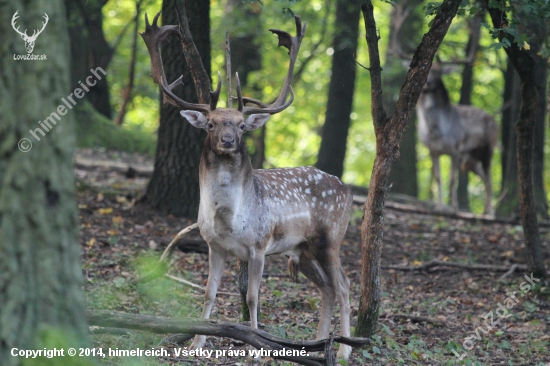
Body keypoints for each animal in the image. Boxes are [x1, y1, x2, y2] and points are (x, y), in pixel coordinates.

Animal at [142, 12, 354, 358]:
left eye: (242, 125)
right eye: (211, 124)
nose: (228, 140)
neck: (228, 219)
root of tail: (348, 189)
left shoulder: (259, 245)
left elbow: (254, 297)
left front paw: (256, 347)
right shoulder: (213, 245)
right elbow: (209, 293)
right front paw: (197, 343)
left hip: (330, 238)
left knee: (345, 286)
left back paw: (344, 351)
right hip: (303, 249)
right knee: (327, 288)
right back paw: (317, 344)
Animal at [418, 63, 500, 216]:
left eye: (438, 72)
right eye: (427, 69)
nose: (428, 82)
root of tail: (496, 122)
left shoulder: (455, 149)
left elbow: (452, 180)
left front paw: (453, 208)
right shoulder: (432, 150)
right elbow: (438, 178)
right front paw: (439, 207)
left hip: (488, 149)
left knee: (489, 179)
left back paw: (491, 213)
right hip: (471, 158)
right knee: (484, 177)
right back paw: (485, 210)